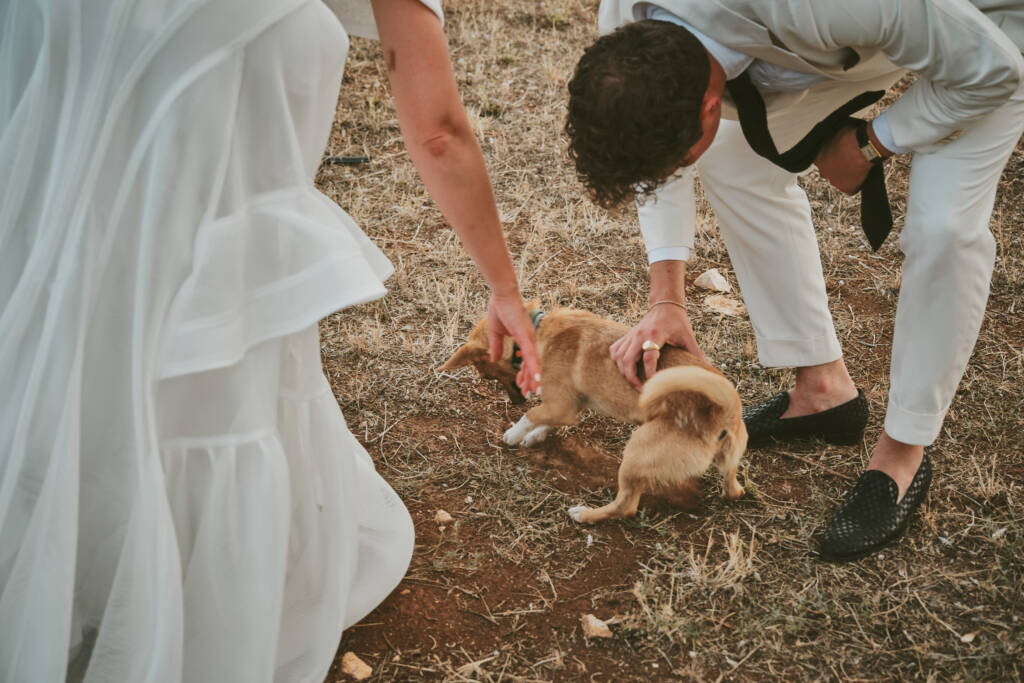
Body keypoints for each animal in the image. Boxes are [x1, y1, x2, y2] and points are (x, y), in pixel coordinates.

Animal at [436, 307, 749, 528]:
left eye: (486, 375)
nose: (515, 401)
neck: (537, 334)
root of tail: (722, 409)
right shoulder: (569, 406)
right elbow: (546, 421)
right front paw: (533, 436)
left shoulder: (559, 405)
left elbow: (533, 414)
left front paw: (515, 433)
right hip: (728, 464)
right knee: (734, 489)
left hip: (636, 453)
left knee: (626, 506)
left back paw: (584, 514)